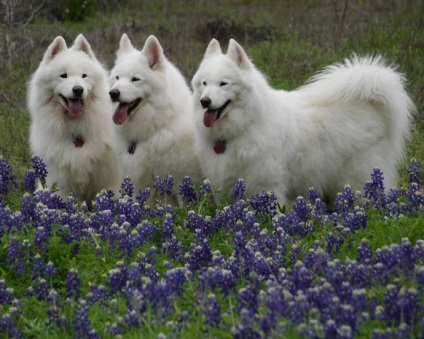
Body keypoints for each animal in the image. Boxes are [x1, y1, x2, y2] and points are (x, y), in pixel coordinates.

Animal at [26, 34, 120, 206]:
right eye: (63, 75)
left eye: (84, 75)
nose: (78, 89)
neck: (77, 129)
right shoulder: (60, 181)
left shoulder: (109, 177)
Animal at [191, 38, 414, 206]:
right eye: (204, 83)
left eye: (223, 83)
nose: (205, 101)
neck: (246, 124)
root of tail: (369, 103)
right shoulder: (225, 184)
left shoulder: (267, 185)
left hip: (359, 178)